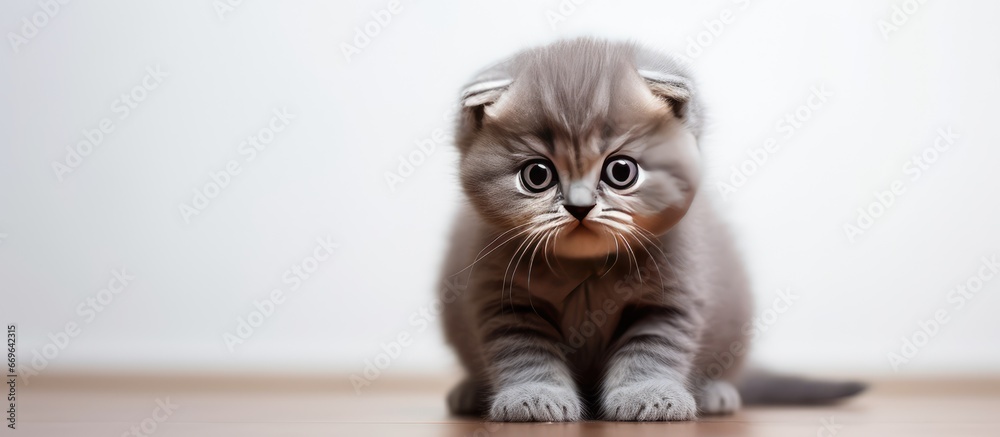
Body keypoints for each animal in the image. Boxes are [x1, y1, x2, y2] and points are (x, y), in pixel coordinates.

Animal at [442, 39, 864, 420]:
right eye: (536, 175)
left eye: (621, 171)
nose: (579, 207)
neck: (586, 269)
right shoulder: (504, 299)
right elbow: (524, 352)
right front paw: (534, 397)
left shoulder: (672, 296)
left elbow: (651, 350)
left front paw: (650, 396)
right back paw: (470, 392)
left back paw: (714, 392)